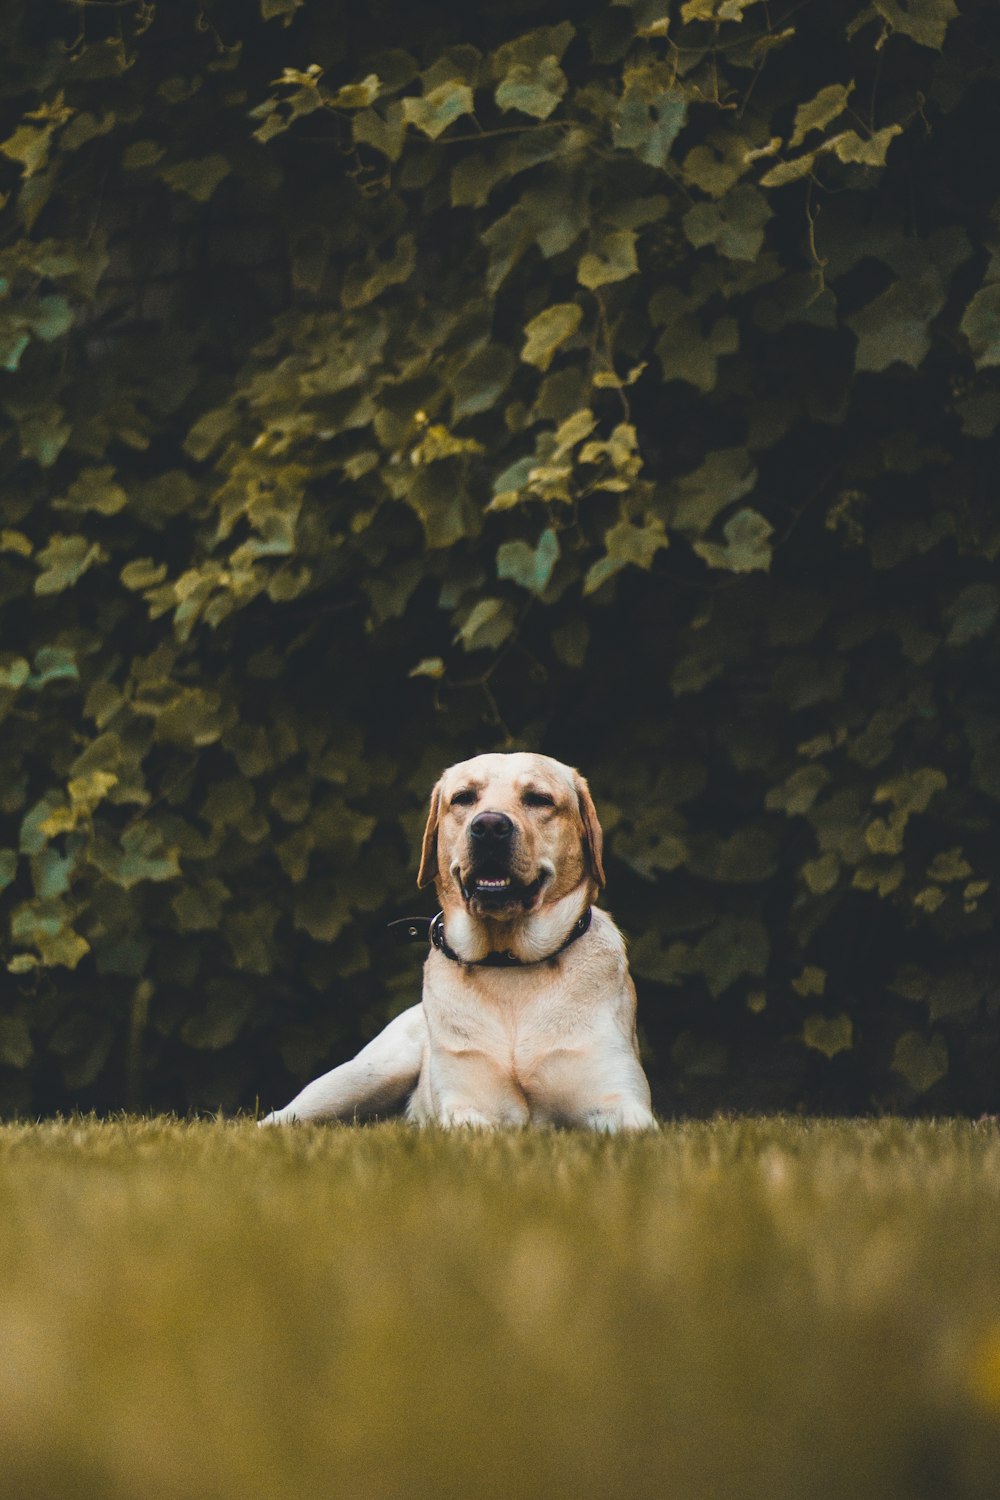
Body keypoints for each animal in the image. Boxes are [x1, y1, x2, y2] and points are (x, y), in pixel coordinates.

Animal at [260, 756, 656, 1128]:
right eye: (464, 797)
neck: (509, 963)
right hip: (365, 1074)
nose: (489, 826)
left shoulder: (621, 1103)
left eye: (539, 799)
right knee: (278, 1119)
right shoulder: (468, 1105)